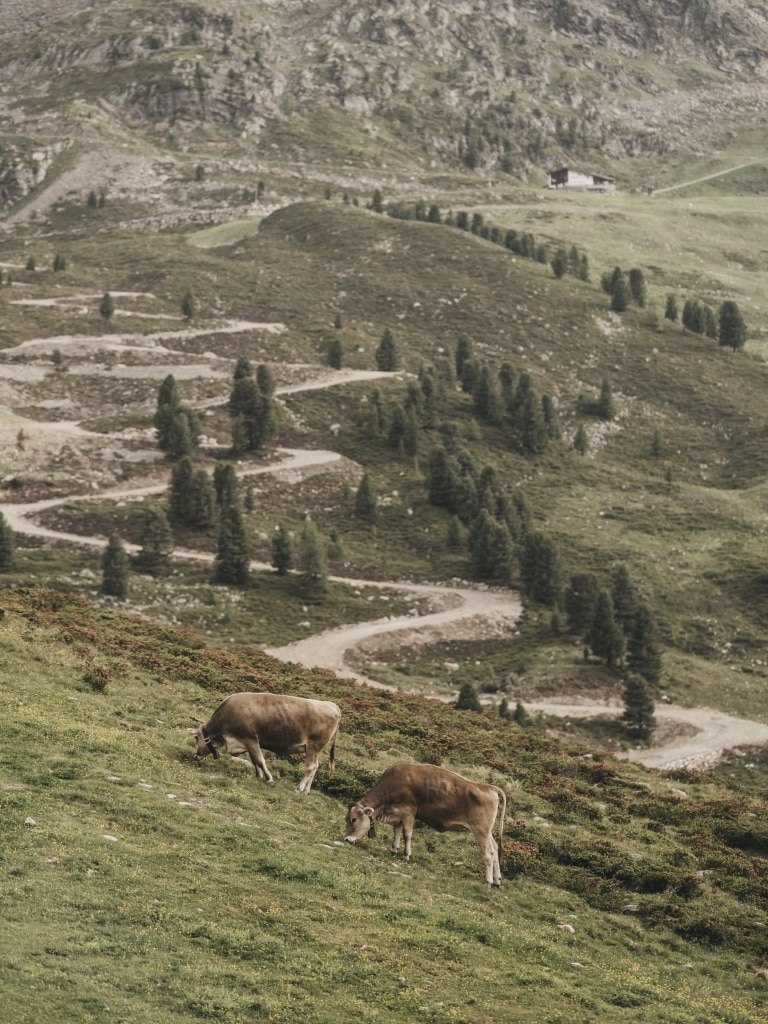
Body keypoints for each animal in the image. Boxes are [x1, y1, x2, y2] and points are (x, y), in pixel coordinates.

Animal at [186, 692, 339, 794]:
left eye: (196, 738)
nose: (196, 757)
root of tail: (331, 705)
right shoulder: (247, 742)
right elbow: (254, 760)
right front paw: (258, 776)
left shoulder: (250, 738)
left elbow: (259, 760)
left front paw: (269, 779)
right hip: (315, 748)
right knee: (315, 766)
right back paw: (306, 790)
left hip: (314, 745)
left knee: (310, 767)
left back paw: (299, 788)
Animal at [346, 761, 507, 888]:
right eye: (346, 819)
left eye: (353, 819)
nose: (346, 839)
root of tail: (490, 787)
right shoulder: (398, 814)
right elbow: (396, 830)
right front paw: (393, 849)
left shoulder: (408, 810)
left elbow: (407, 833)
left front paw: (406, 855)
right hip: (487, 831)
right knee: (494, 849)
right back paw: (497, 880)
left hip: (481, 830)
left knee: (487, 854)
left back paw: (488, 881)